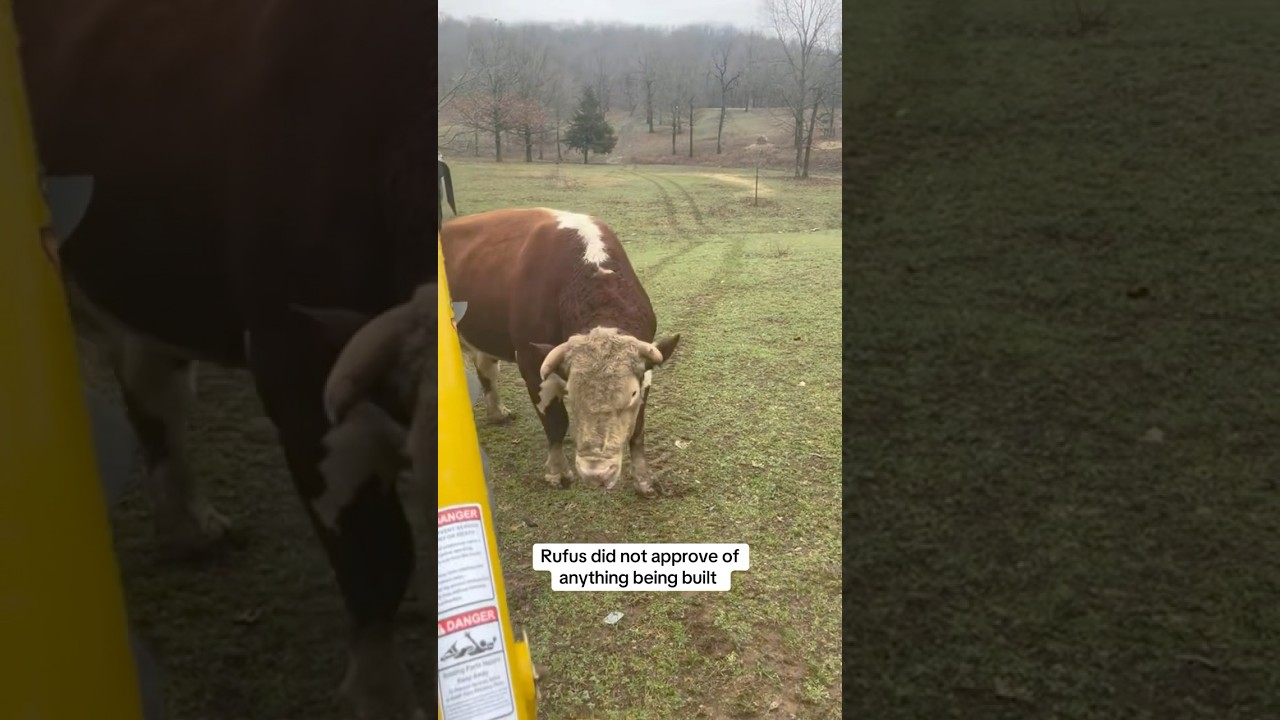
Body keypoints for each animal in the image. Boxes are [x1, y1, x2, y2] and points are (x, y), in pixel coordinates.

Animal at [440, 208, 680, 497]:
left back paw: (497, 412)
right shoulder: (532, 363)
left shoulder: (647, 370)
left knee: (486, 368)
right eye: (573, 394)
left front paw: (644, 480)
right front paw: (557, 472)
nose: (597, 473)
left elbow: (637, 431)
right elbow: (556, 422)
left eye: (631, 394)